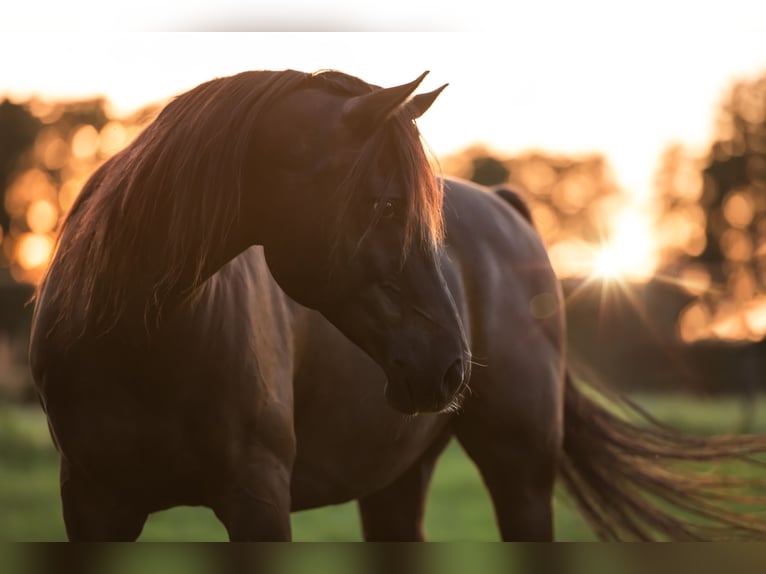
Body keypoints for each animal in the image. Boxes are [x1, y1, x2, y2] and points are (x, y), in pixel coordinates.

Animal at [27, 70, 766, 544]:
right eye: (385, 204)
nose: (451, 367)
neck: (137, 340)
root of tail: (508, 207)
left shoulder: (257, 500)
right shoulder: (91, 504)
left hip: (522, 478)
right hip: (395, 485)